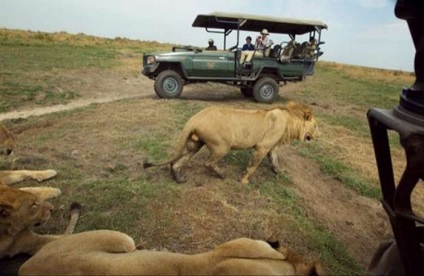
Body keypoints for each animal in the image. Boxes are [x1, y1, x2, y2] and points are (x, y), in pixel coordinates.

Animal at [143, 101, 318, 183]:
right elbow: (252, 166)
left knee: (177, 163)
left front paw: (279, 172)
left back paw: (179, 179)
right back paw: (222, 175)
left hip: (194, 144)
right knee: (208, 163)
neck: (290, 119)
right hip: (222, 146)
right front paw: (243, 181)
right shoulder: (262, 147)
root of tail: (195, 118)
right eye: (316, 126)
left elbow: (275, 161)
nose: (318, 136)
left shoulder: (272, 147)